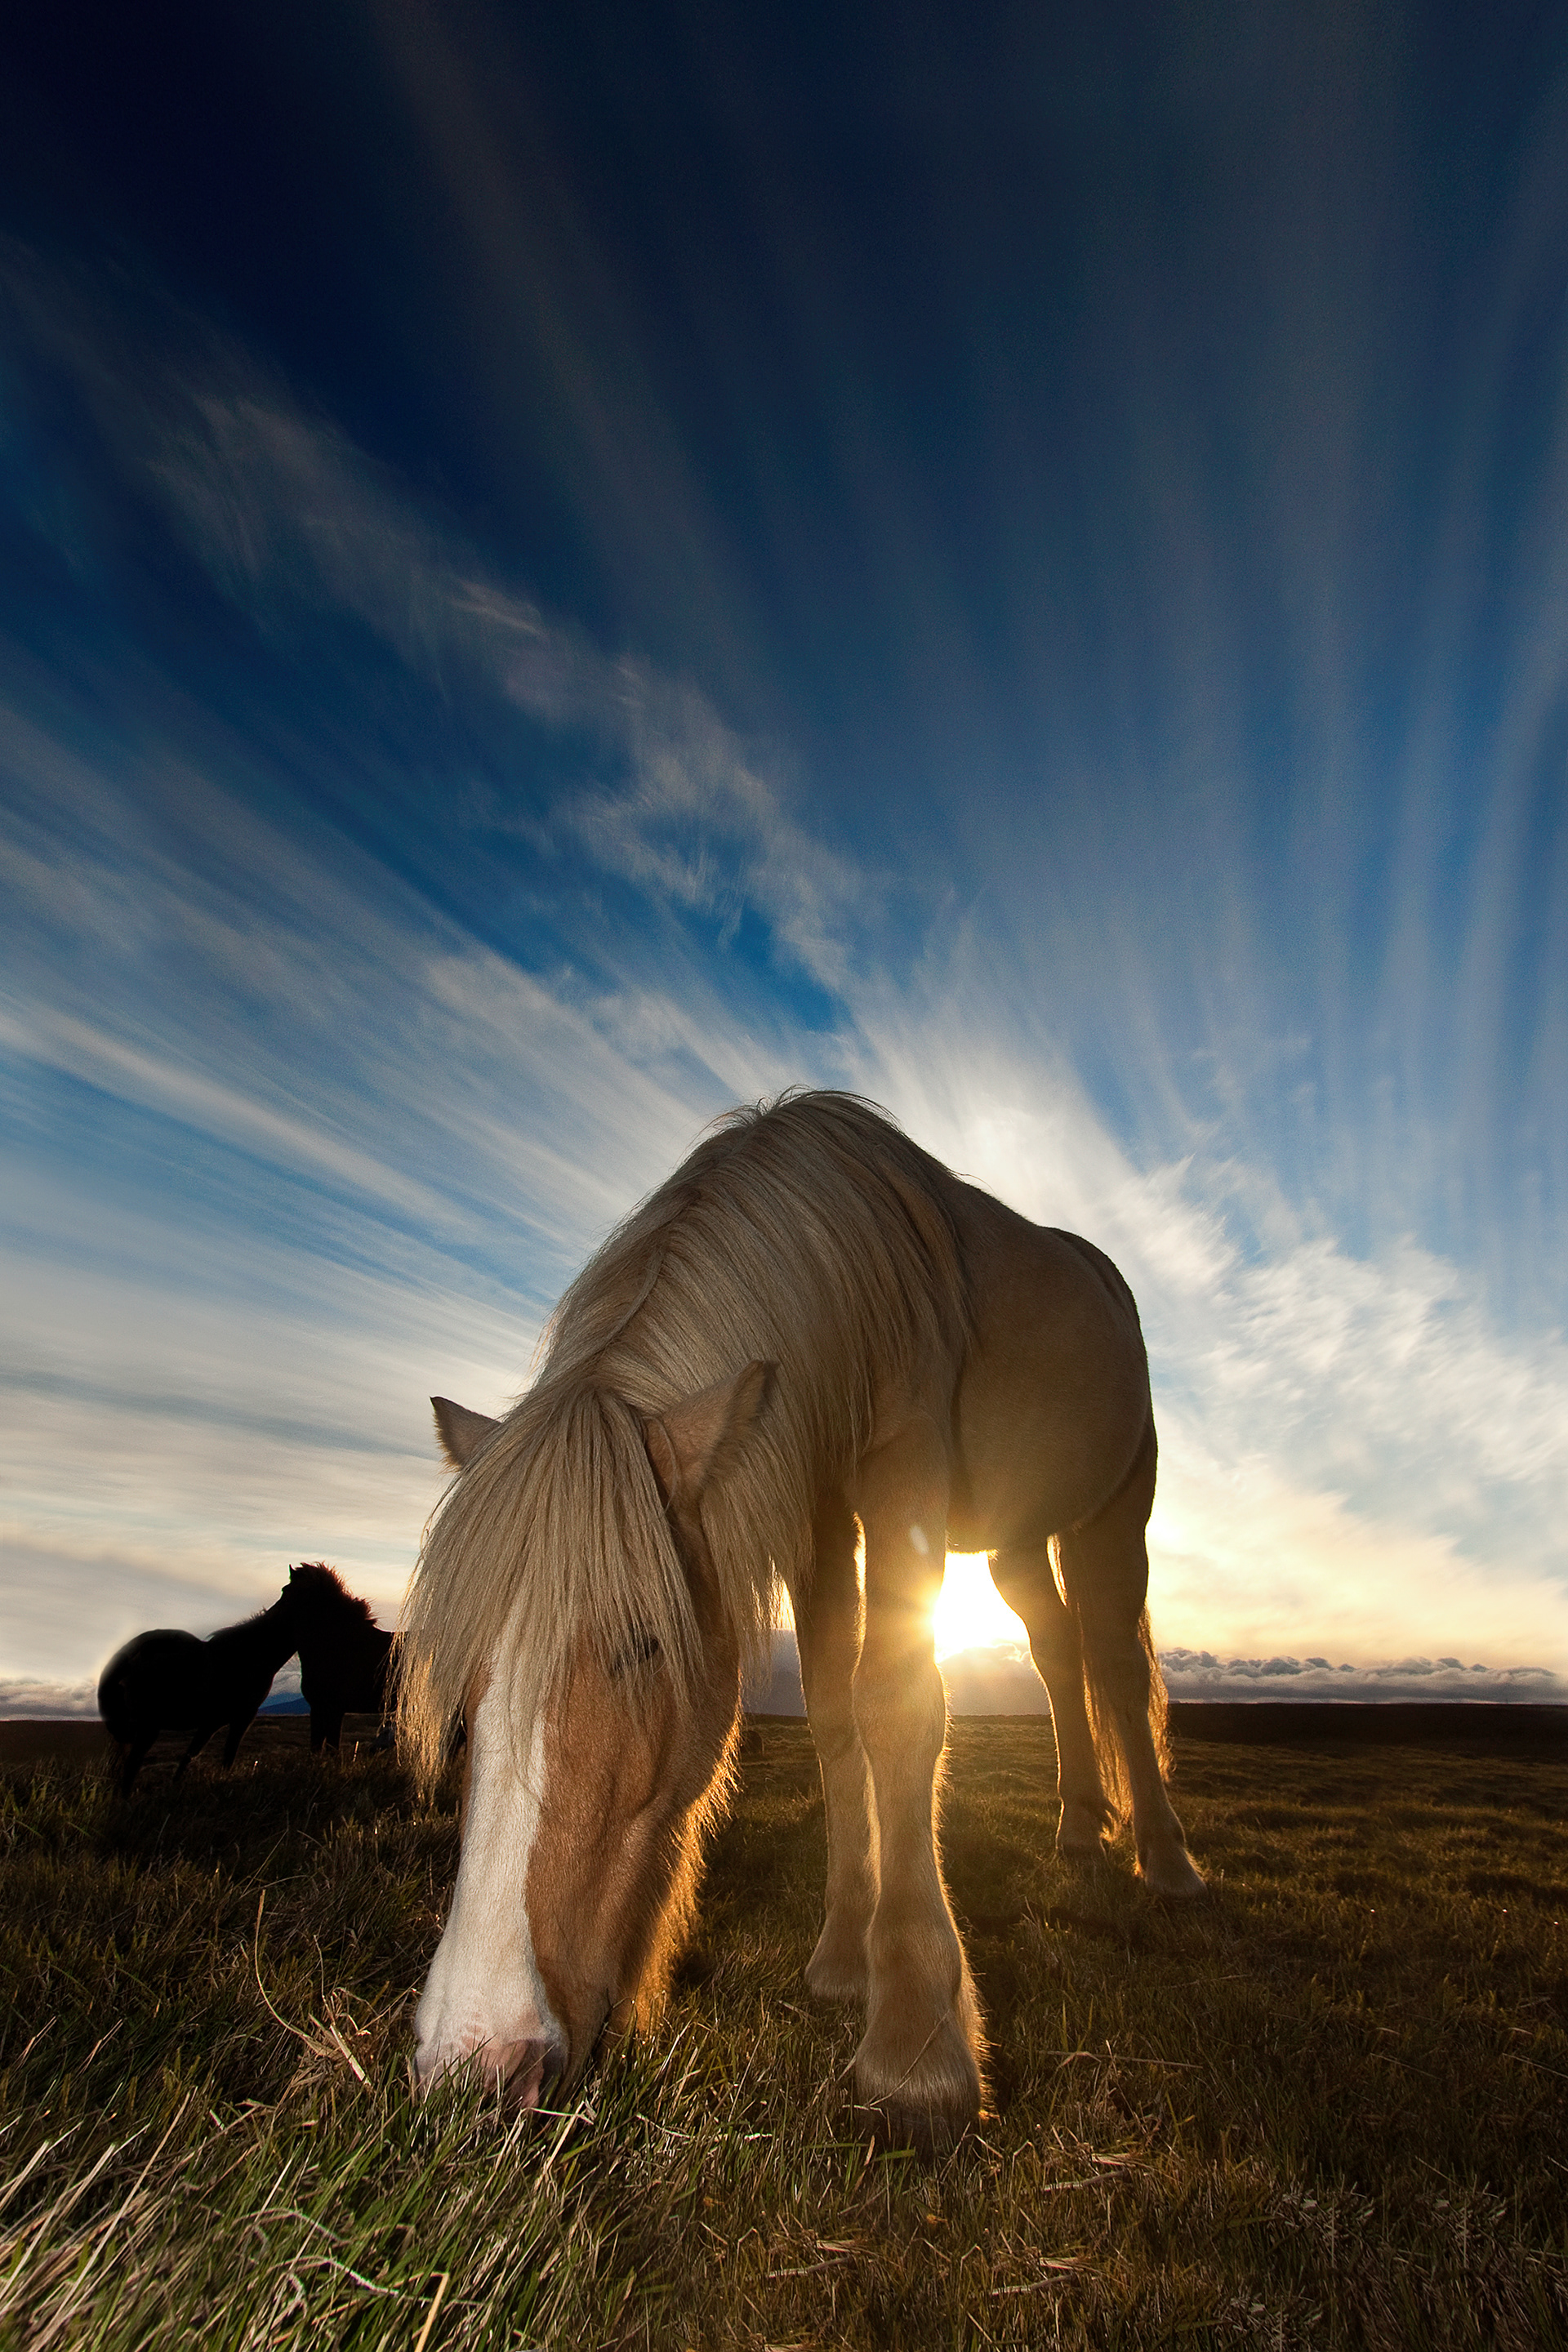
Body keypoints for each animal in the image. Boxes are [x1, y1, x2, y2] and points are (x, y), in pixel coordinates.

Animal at [97, 1585, 302, 1797]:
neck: (253, 1654)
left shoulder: (211, 1723)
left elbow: (190, 1756)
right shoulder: (242, 1718)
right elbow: (226, 1757)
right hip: (148, 1727)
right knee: (131, 1768)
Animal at [399, 1090, 1204, 2153]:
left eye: (643, 1641)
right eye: (472, 1677)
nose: (479, 2065)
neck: (846, 1259)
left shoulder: (905, 1467)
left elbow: (897, 1701)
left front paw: (916, 2046)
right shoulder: (822, 1511)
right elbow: (833, 1710)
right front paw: (842, 1959)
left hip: (1115, 1507)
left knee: (1112, 1658)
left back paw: (1166, 1861)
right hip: (1018, 1538)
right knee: (1055, 1649)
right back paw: (1079, 1827)